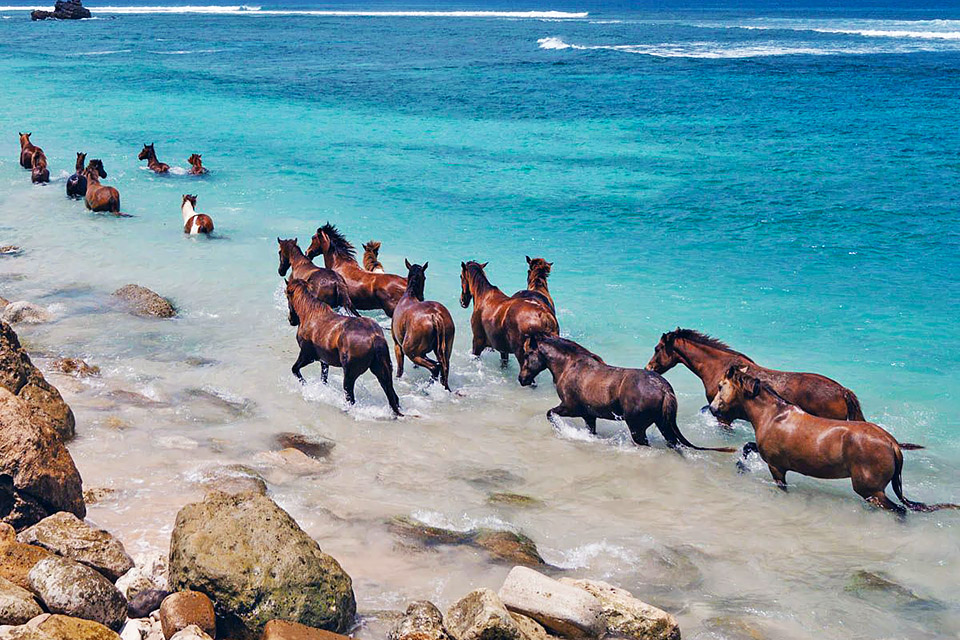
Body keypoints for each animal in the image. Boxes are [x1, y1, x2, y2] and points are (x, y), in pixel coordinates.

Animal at [285, 278, 401, 416]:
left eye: (287, 296)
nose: (291, 320)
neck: (310, 314)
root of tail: (374, 337)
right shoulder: (324, 361)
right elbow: (323, 379)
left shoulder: (307, 356)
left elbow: (295, 370)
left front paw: (306, 385)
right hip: (381, 372)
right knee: (392, 395)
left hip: (349, 376)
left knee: (350, 398)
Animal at [392, 261, 455, 390]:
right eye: (424, 277)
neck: (409, 295)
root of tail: (435, 315)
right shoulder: (423, 353)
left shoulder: (397, 346)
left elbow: (400, 369)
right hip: (445, 351)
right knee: (443, 367)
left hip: (410, 351)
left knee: (435, 367)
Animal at [518, 334, 736, 452]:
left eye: (528, 354)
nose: (522, 379)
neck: (569, 366)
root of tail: (664, 390)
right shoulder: (589, 415)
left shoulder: (570, 408)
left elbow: (550, 414)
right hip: (663, 425)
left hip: (637, 428)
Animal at [711, 366, 957, 514]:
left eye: (721, 386)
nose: (712, 409)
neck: (773, 415)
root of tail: (892, 444)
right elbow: (747, 447)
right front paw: (741, 467)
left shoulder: (776, 467)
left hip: (870, 490)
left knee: (899, 510)